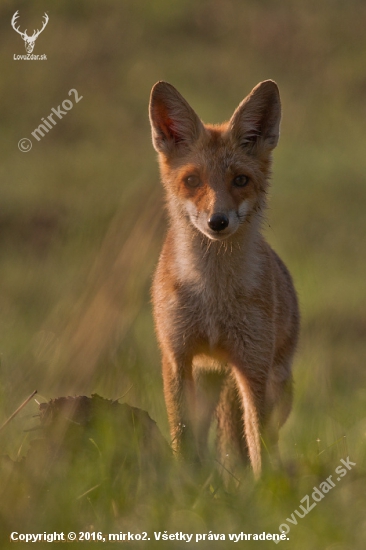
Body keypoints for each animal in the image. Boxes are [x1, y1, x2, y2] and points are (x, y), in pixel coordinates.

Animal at [149, 78, 300, 478]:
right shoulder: (176, 355)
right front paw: (183, 485)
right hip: (205, 381)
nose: (217, 221)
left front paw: (264, 490)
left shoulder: (253, 367)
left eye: (240, 180)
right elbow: (183, 438)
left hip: (278, 386)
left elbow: (258, 444)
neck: (213, 296)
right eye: (192, 180)